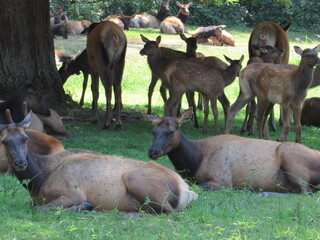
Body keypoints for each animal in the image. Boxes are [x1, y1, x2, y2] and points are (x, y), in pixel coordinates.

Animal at [0, 111, 198, 213]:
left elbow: (41, 209)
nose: (20, 163)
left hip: (136, 179)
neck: (39, 179)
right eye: (4, 141)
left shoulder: (72, 192)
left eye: (25, 138)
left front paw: (84, 206)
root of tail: (186, 189)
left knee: (169, 211)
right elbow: (32, 206)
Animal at [148, 108, 320, 194]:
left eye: (170, 132)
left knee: (306, 191)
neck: (195, 163)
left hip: (290, 156)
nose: (152, 151)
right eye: (154, 132)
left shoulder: (223, 181)